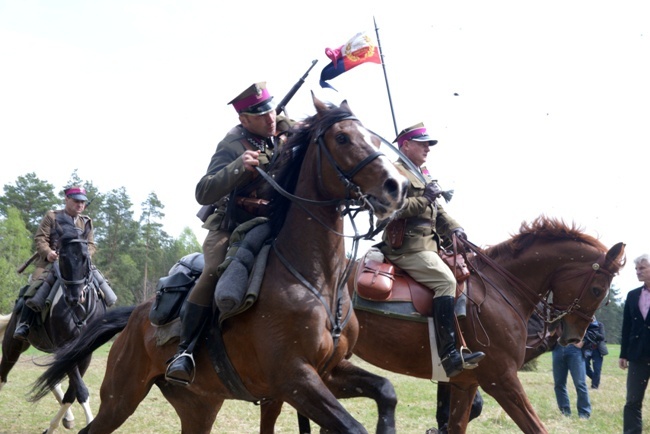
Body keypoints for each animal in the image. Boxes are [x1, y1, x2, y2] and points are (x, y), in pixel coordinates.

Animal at [1, 219, 107, 434]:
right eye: (62, 256)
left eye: (85, 257)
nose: (74, 298)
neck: (80, 311)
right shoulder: (67, 348)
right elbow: (80, 390)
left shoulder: (84, 353)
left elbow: (71, 392)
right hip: (12, 347)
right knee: (3, 375)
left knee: (53, 380)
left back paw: (68, 418)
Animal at [33, 95, 408, 434]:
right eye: (342, 138)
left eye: (374, 139)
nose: (398, 186)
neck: (315, 280)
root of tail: (136, 316)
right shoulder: (295, 378)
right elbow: (354, 427)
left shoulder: (329, 372)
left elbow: (386, 391)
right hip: (121, 397)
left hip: (199, 406)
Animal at [344, 217, 624, 434]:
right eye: (597, 289)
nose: (574, 337)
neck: (501, 287)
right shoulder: (502, 380)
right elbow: (535, 427)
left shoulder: (465, 384)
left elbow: (457, 423)